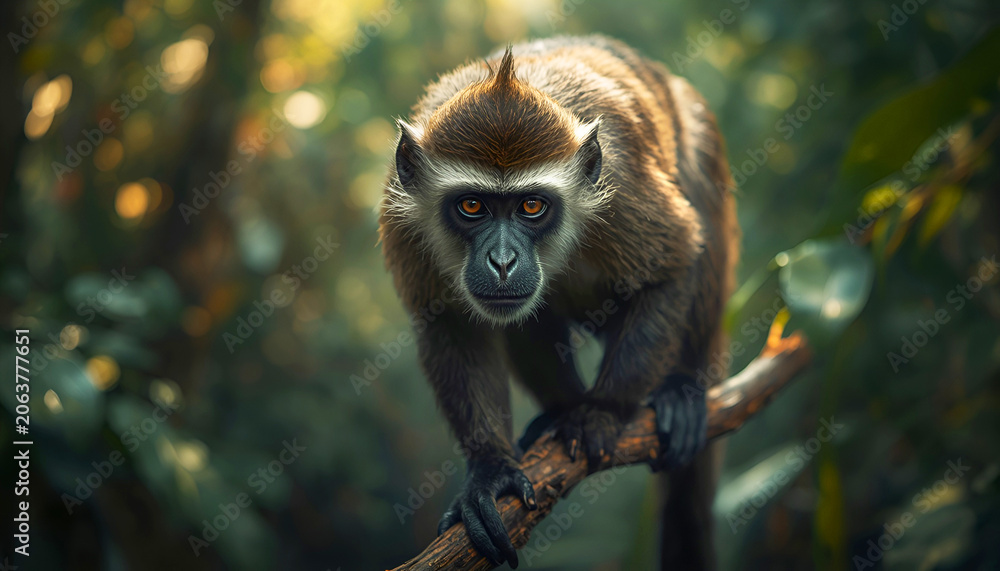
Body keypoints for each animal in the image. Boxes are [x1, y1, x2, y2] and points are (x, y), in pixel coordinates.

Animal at [379, 35, 738, 570]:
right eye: (472, 206)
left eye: (531, 206)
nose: (502, 261)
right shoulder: (401, 214)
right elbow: (450, 323)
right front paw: (490, 469)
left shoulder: (624, 185)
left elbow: (675, 262)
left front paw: (604, 412)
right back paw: (561, 409)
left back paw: (681, 390)